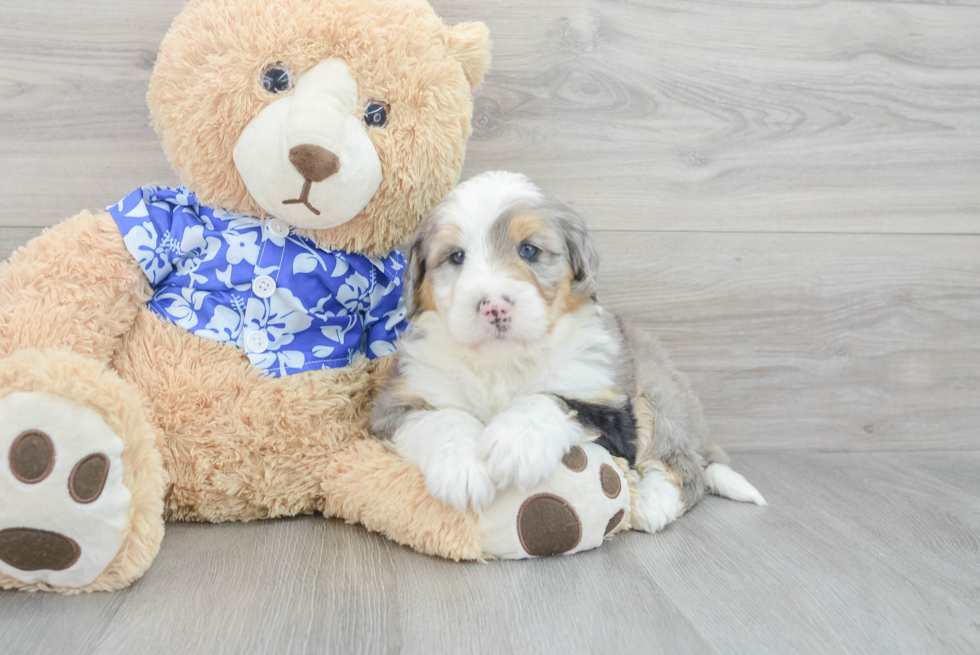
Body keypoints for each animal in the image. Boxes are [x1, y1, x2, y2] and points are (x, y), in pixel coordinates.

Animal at [372, 170, 760, 532]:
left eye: (529, 250)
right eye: (456, 256)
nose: (494, 306)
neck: (502, 360)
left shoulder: (613, 412)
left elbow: (553, 400)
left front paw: (515, 442)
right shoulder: (394, 404)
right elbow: (444, 417)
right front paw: (463, 468)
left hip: (658, 393)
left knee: (687, 467)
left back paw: (652, 502)